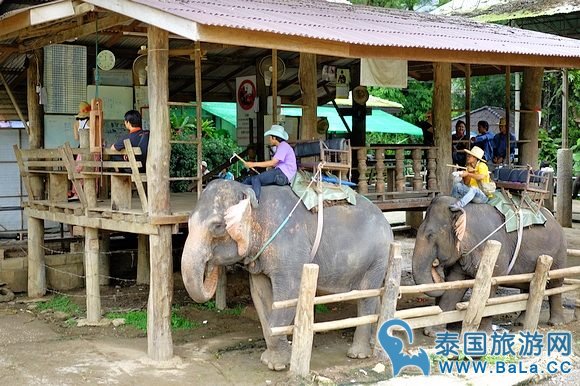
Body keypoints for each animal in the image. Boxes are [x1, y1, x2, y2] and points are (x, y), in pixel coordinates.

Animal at [179, 179, 392, 370]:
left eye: (217, 226)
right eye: (187, 223)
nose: (210, 264)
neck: (252, 194)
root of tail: (386, 221)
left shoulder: (289, 247)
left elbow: (288, 295)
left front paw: (276, 365)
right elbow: (261, 295)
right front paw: (271, 359)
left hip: (378, 256)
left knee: (366, 295)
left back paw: (358, 354)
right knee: (374, 295)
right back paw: (376, 341)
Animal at [412, 196, 568, 334]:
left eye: (430, 235)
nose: (437, 265)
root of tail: (554, 219)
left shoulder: (496, 252)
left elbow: (489, 288)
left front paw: (485, 333)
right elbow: (455, 284)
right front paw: (432, 332)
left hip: (558, 255)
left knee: (555, 285)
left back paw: (555, 323)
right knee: (528, 287)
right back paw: (520, 323)